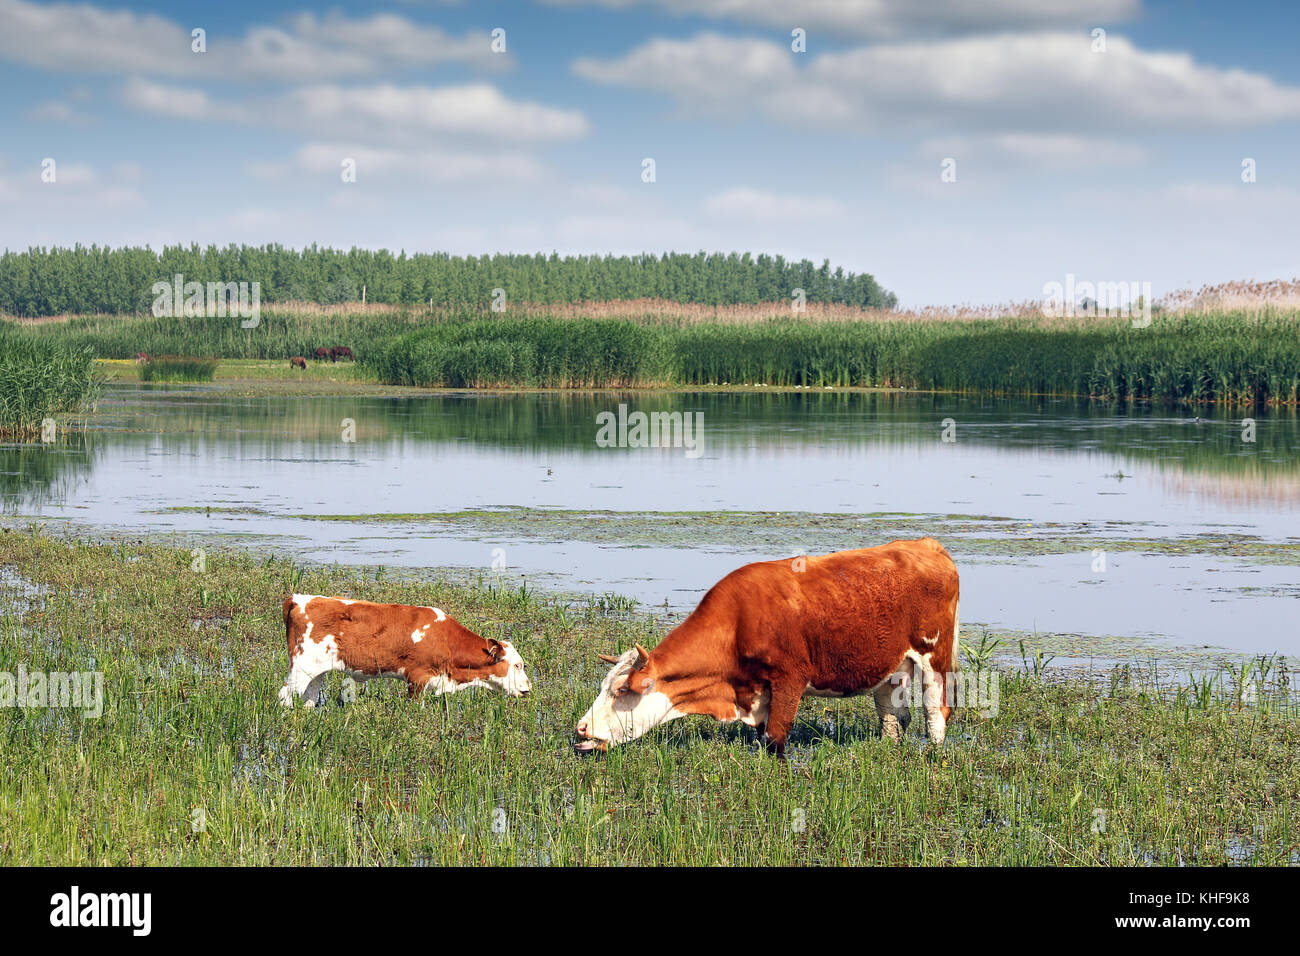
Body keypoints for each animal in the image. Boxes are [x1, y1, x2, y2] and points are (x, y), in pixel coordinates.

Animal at [277, 594, 531, 708]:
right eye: (517, 664)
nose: (528, 688)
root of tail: (298, 599)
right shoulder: (416, 678)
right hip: (300, 669)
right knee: (284, 696)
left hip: (316, 672)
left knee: (309, 697)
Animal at [575, 538, 959, 757]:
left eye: (622, 690)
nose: (581, 728)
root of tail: (926, 543)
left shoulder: (789, 680)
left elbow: (776, 739)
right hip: (891, 666)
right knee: (893, 717)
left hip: (934, 658)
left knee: (935, 714)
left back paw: (933, 757)